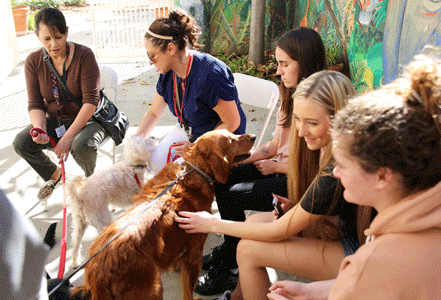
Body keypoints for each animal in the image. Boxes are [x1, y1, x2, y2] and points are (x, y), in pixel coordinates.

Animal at [63, 136, 156, 268]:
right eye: (145, 140)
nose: (152, 137)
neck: (132, 167)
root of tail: (80, 196)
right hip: (103, 220)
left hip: (80, 225)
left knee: (76, 245)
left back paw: (75, 263)